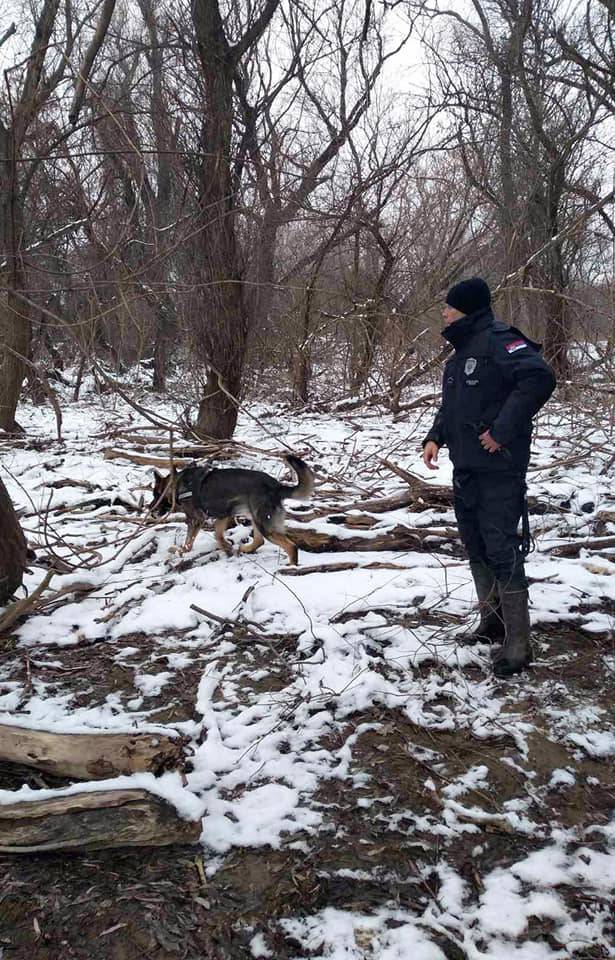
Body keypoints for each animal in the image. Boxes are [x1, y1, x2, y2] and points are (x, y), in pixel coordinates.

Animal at [150, 456, 312, 564]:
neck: (176, 485)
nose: (150, 509)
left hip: (265, 525)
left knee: (291, 547)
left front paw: (182, 552)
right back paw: (245, 549)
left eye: (156, 494)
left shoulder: (196, 519)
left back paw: (291, 567)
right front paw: (227, 547)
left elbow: (189, 541)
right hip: (256, 518)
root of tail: (277, 486)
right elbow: (217, 534)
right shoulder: (223, 515)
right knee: (259, 541)